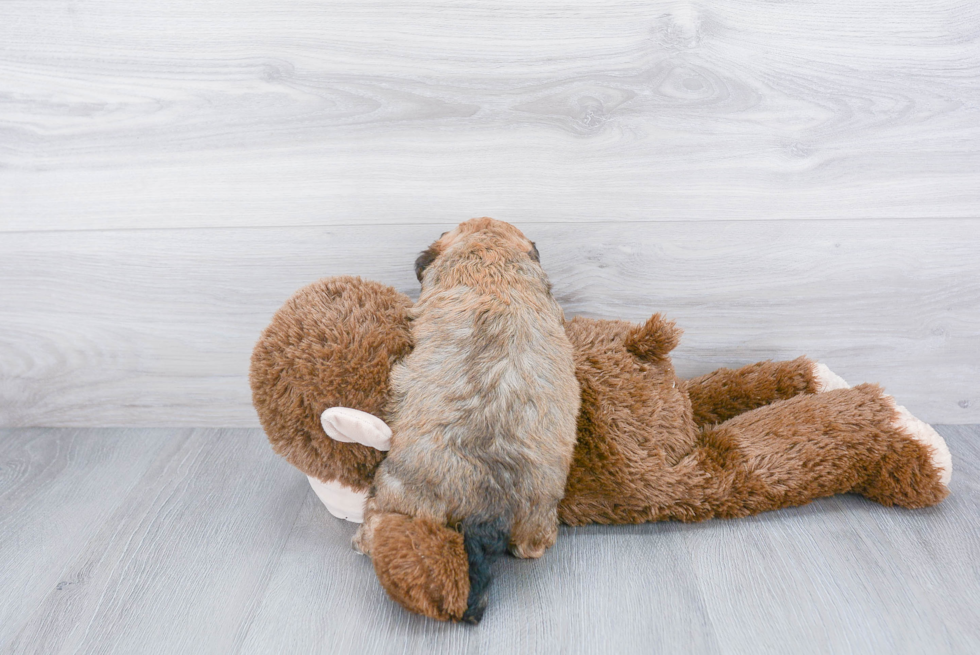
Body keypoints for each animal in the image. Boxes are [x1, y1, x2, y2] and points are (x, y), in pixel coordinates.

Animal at [352, 218, 580, 624]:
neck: (491, 262)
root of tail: (486, 511)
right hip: (540, 507)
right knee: (536, 541)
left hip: (397, 490)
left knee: (381, 517)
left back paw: (364, 541)